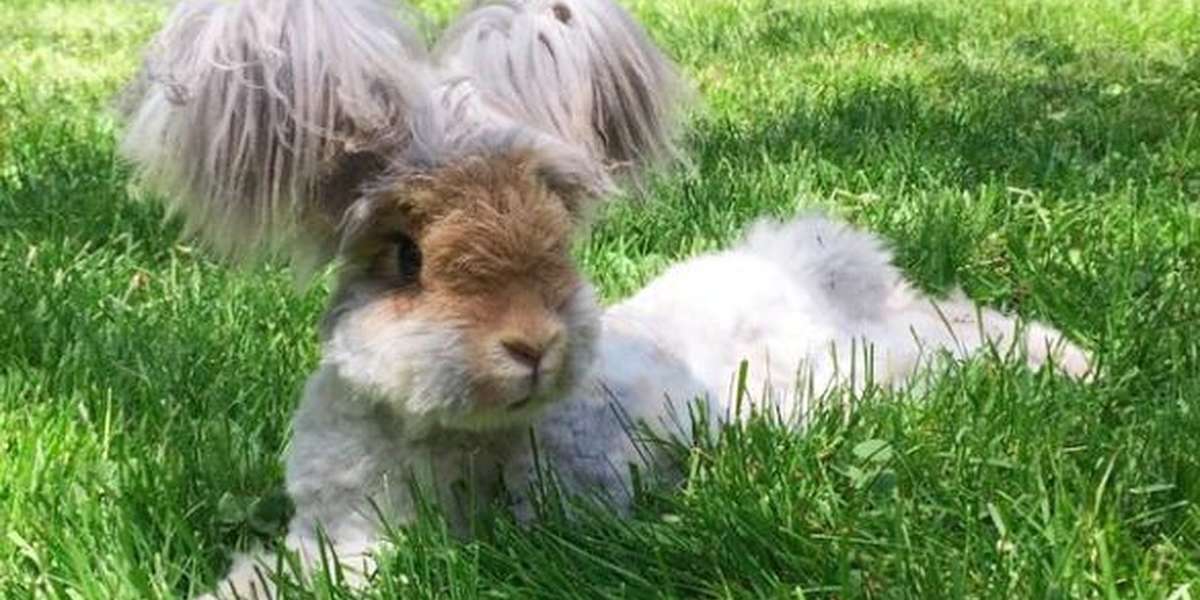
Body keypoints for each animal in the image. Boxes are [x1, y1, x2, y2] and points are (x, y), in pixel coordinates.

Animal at [119, 0, 1089, 597]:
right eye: (404, 257)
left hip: (862, 366)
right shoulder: (343, 525)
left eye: (558, 236)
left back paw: (1071, 360)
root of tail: (806, 269)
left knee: (951, 336)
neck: (449, 433)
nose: (534, 344)